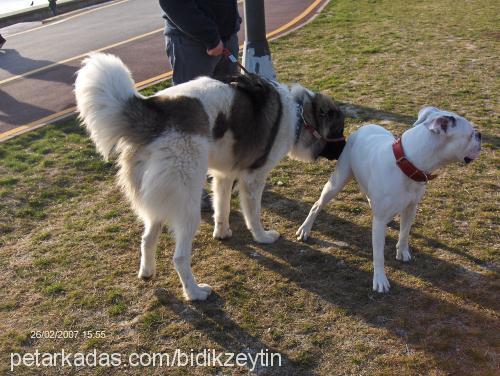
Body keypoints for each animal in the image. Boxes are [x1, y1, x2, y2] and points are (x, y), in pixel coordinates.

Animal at [76, 53, 346, 300]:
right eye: (339, 130)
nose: (346, 148)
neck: (299, 115)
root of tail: (157, 113)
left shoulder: (224, 176)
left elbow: (222, 207)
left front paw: (222, 232)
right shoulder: (253, 179)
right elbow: (253, 215)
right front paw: (262, 237)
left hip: (158, 199)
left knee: (147, 238)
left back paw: (147, 272)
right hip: (187, 201)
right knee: (179, 257)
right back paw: (195, 292)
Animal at [296, 107, 480, 292]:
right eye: (471, 134)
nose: (480, 135)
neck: (407, 163)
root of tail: (363, 127)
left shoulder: (411, 208)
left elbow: (404, 233)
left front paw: (402, 252)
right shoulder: (379, 223)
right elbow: (379, 254)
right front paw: (380, 280)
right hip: (336, 183)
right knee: (317, 206)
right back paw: (305, 229)